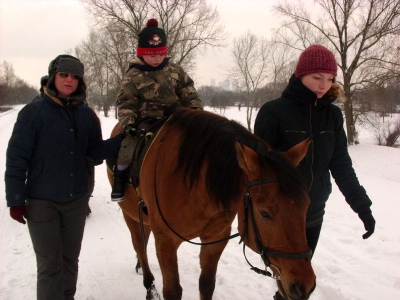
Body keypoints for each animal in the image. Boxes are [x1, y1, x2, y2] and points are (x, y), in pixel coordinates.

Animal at [108, 108, 318, 300]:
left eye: (306, 205)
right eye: (264, 213)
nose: (304, 285)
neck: (193, 185)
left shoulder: (216, 239)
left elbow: (207, 284)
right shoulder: (165, 241)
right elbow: (172, 291)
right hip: (130, 215)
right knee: (139, 245)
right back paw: (149, 285)